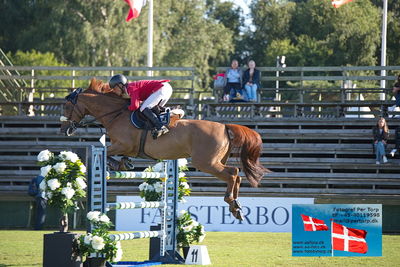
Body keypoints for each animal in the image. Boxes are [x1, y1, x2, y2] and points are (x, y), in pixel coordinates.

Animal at [61, 78, 268, 221]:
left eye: (67, 106)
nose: (64, 130)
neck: (115, 114)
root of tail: (224, 126)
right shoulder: (125, 147)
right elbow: (115, 155)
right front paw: (124, 164)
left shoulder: (123, 144)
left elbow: (108, 152)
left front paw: (119, 164)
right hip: (215, 161)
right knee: (237, 175)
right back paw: (237, 207)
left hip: (206, 163)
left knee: (233, 173)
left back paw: (231, 202)